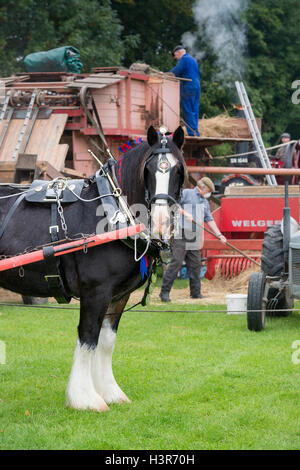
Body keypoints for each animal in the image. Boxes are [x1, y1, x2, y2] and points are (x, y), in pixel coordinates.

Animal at [0, 126, 185, 412]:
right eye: (148, 169)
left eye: (178, 170)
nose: (162, 221)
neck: (113, 213)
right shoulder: (95, 291)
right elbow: (88, 337)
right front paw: (85, 398)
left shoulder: (119, 295)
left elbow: (106, 342)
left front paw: (110, 392)